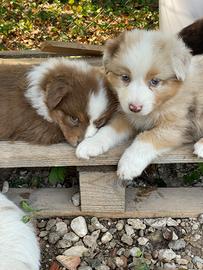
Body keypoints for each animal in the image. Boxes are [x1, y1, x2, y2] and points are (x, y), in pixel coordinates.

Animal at [76, 29, 203, 181]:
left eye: (155, 81)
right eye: (125, 78)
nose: (134, 108)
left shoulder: (177, 126)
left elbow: (147, 137)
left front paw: (129, 164)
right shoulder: (127, 116)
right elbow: (109, 129)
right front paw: (90, 144)